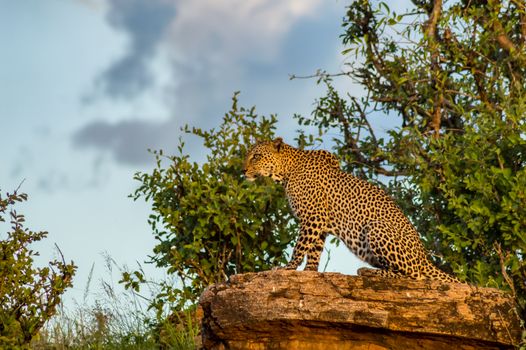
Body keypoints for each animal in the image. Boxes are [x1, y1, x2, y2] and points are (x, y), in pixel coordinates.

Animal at [243, 137, 462, 284]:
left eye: (256, 156)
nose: (243, 171)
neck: (286, 171)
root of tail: (425, 258)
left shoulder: (313, 216)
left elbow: (300, 246)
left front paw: (287, 268)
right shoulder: (319, 222)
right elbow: (314, 250)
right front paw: (310, 271)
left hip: (375, 228)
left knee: (413, 275)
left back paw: (369, 272)